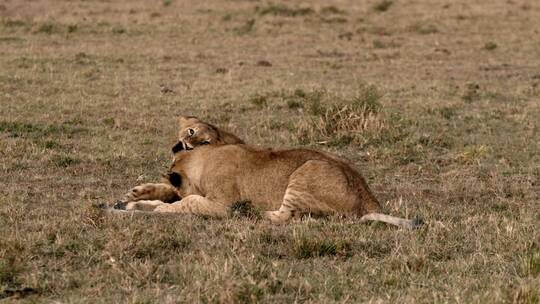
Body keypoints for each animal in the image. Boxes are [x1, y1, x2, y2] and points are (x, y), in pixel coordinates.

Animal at [116, 117, 422, 229]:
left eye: (197, 135)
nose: (187, 139)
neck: (202, 158)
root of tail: (370, 199)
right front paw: (136, 199)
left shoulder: (221, 204)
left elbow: (187, 202)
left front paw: (156, 208)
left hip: (307, 171)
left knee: (286, 216)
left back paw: (252, 213)